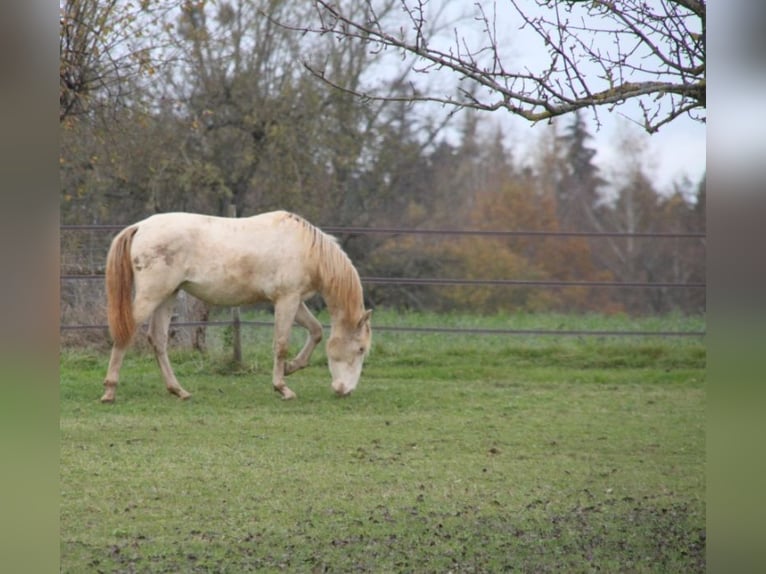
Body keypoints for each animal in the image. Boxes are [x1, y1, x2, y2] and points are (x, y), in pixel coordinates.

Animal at [99, 209, 376, 402]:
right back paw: (110, 392)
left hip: (167, 296)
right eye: (361, 349)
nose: (344, 390)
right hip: (152, 295)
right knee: (125, 334)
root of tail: (140, 226)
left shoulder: (294, 300)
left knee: (158, 340)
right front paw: (283, 388)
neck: (306, 249)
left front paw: (291, 368)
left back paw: (179, 391)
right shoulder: (286, 300)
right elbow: (281, 344)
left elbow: (316, 331)